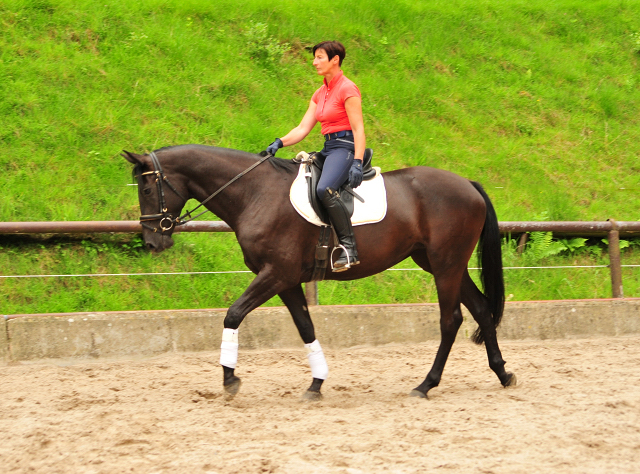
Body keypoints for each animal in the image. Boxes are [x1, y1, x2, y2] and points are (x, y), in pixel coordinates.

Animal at [122, 144, 516, 400]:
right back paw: (502, 372)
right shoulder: (286, 281)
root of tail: (468, 185)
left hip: (446, 264)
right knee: (481, 308)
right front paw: (316, 383)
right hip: (440, 263)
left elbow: (233, 314)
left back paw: (426, 384)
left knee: (451, 319)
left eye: (147, 186)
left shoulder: (275, 274)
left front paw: (230, 379)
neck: (255, 193)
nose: (152, 241)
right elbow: (305, 327)